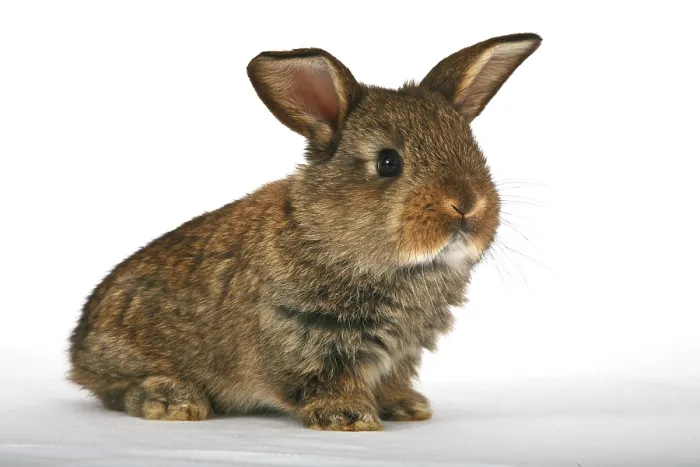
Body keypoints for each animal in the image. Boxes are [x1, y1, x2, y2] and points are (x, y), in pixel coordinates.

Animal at [68, 33, 541, 431]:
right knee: (118, 390)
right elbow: (324, 381)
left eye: (474, 151)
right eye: (388, 162)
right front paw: (349, 418)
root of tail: (78, 349)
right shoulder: (307, 338)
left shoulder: (401, 353)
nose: (466, 205)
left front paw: (406, 407)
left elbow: (391, 380)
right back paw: (173, 401)